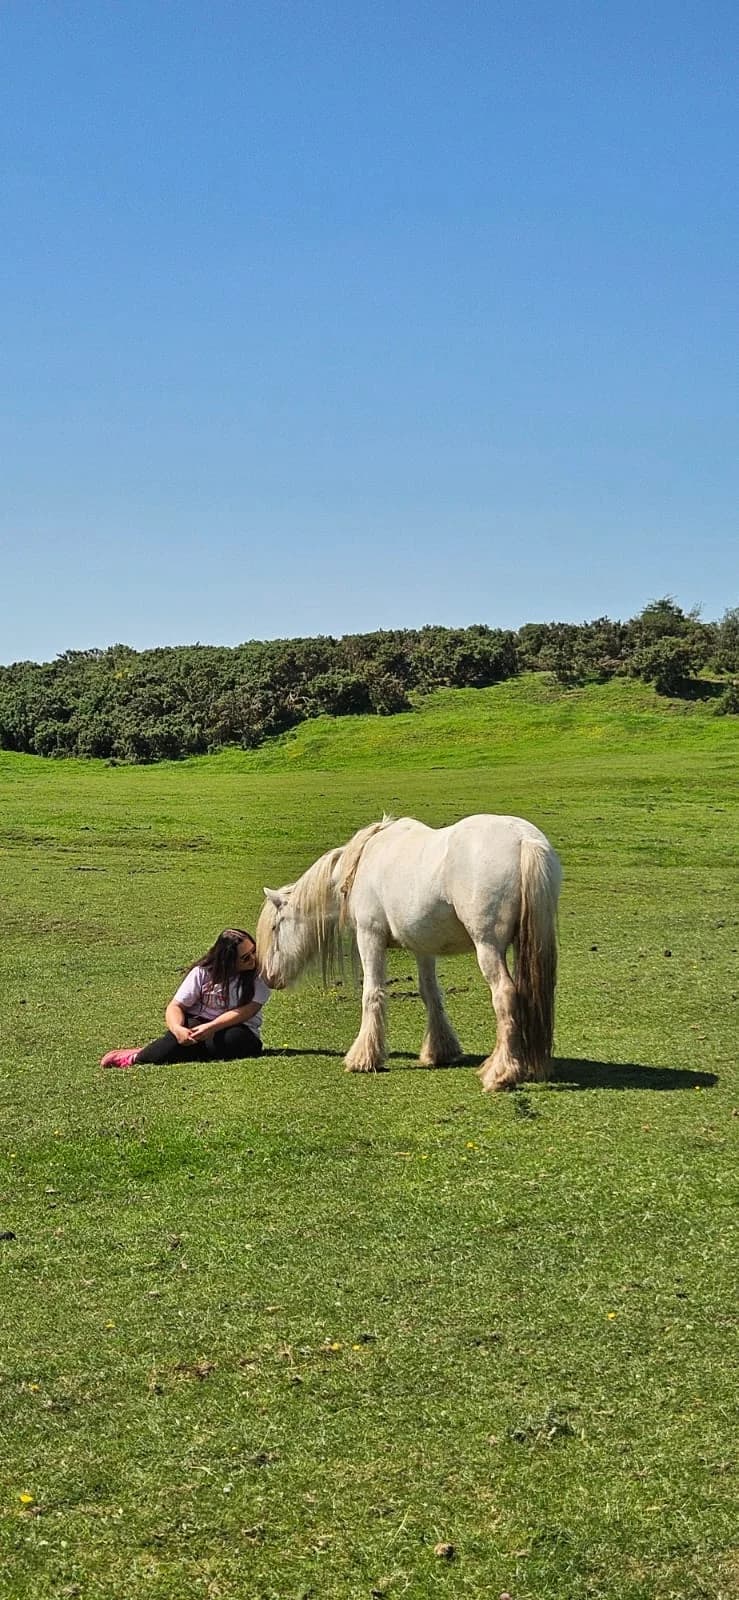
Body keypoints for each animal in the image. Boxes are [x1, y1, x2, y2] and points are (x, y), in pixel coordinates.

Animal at [256, 813, 562, 1091]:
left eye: (275, 926)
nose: (268, 977)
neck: (362, 861)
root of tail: (524, 840)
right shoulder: (422, 947)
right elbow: (431, 994)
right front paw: (440, 1051)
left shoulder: (369, 935)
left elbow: (372, 993)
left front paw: (363, 1058)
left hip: (487, 946)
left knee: (505, 995)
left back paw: (500, 1073)